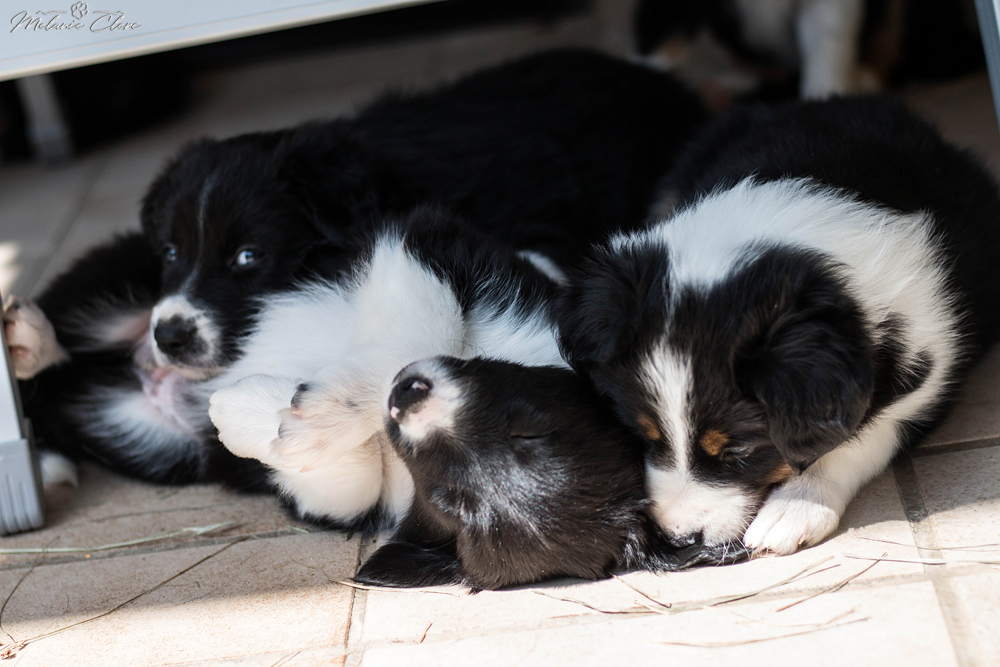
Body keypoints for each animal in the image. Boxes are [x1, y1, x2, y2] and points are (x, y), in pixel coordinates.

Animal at [557, 96, 1000, 557]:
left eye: (739, 449)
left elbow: (858, 437)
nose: (680, 539)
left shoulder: (929, 368)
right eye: (642, 435)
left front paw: (794, 509)